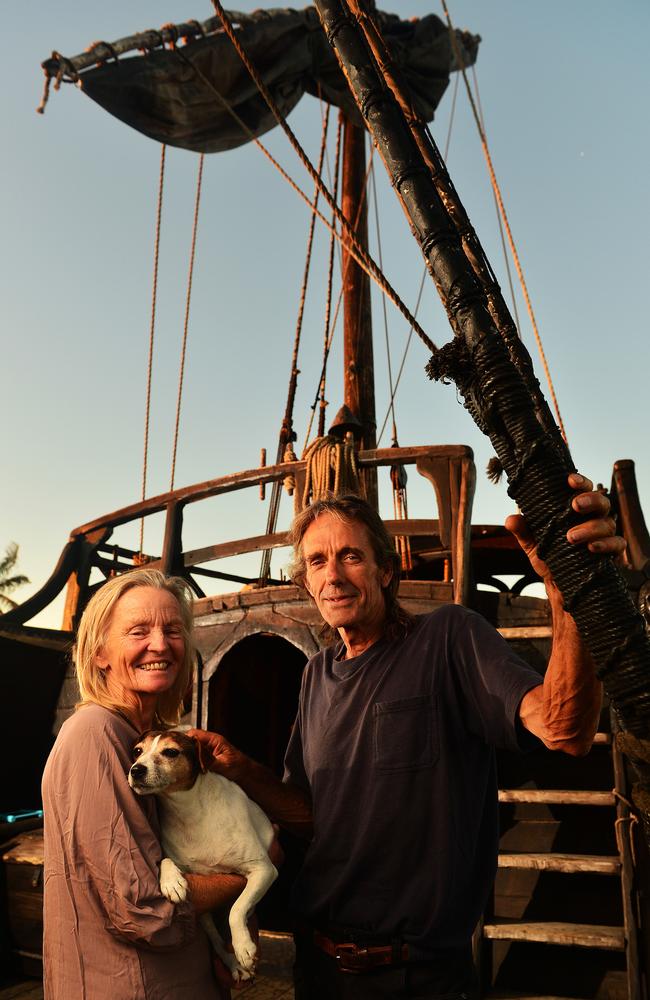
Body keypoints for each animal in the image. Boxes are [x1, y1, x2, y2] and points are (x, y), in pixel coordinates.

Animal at [128, 732, 276, 980]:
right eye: (138, 751)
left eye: (171, 752)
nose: (136, 770)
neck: (188, 812)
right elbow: (165, 860)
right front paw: (172, 882)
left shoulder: (263, 869)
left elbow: (237, 909)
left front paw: (244, 946)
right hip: (204, 913)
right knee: (216, 939)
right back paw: (233, 963)